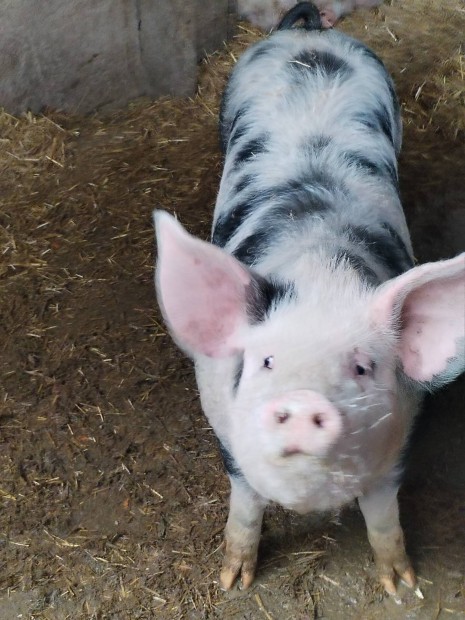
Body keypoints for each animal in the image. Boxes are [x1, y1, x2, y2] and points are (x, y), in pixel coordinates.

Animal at [155, 2, 464, 600]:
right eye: (266, 361)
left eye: (364, 367)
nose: (302, 400)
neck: (323, 278)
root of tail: (306, 34)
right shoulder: (225, 431)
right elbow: (246, 503)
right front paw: (233, 580)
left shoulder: (401, 437)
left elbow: (382, 512)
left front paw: (400, 583)